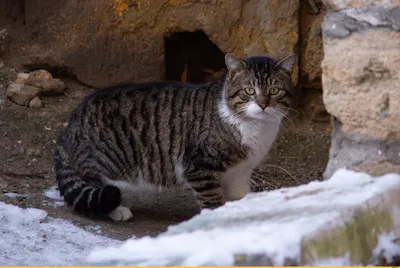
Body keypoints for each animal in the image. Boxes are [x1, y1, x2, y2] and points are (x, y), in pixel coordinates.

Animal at [53, 52, 296, 222]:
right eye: (249, 91)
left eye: (274, 91)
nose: (263, 104)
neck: (257, 129)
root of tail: (70, 126)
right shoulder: (200, 167)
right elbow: (212, 201)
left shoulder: (241, 171)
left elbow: (240, 196)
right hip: (107, 165)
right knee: (97, 189)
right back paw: (117, 210)